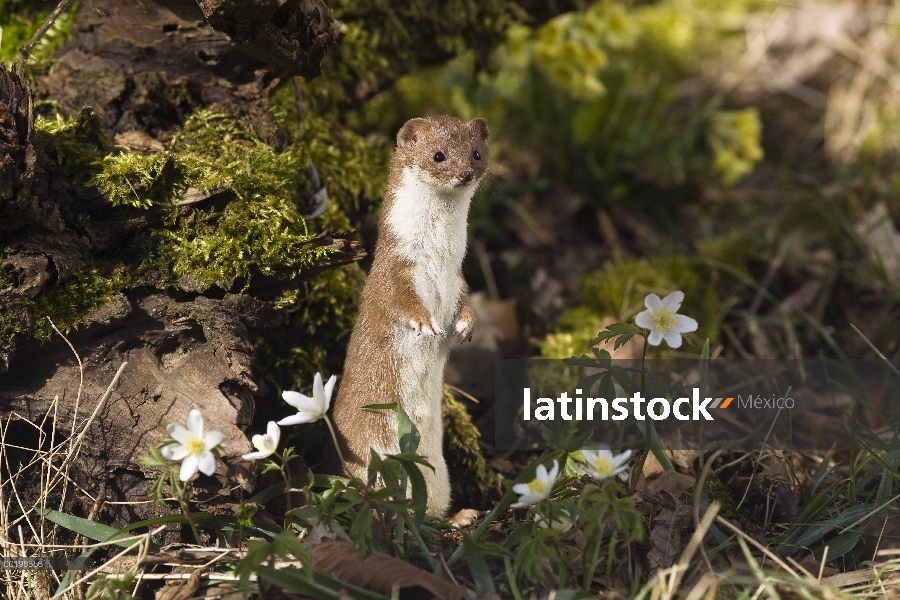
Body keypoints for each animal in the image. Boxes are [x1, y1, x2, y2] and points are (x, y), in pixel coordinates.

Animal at [330, 116, 488, 516]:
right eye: (438, 155)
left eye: (477, 153)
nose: (465, 172)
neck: (438, 264)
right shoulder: (394, 272)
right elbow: (398, 302)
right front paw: (425, 322)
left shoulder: (459, 279)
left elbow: (465, 303)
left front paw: (464, 325)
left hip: (439, 477)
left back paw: (460, 516)